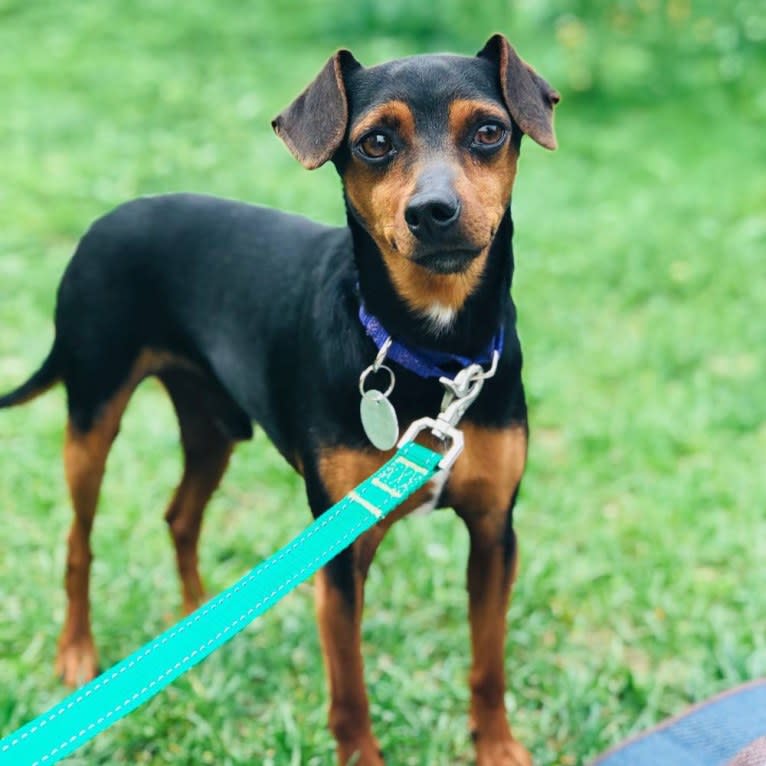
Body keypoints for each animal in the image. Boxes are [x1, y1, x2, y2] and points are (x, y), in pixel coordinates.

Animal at [3, 34, 560, 766]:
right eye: (375, 142)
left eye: (490, 132)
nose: (432, 212)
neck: (427, 350)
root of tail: (109, 218)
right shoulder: (341, 548)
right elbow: (350, 690)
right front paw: (363, 757)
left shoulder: (496, 532)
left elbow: (488, 664)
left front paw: (497, 747)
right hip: (93, 416)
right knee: (79, 543)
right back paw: (77, 653)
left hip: (214, 427)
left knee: (180, 517)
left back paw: (199, 624)